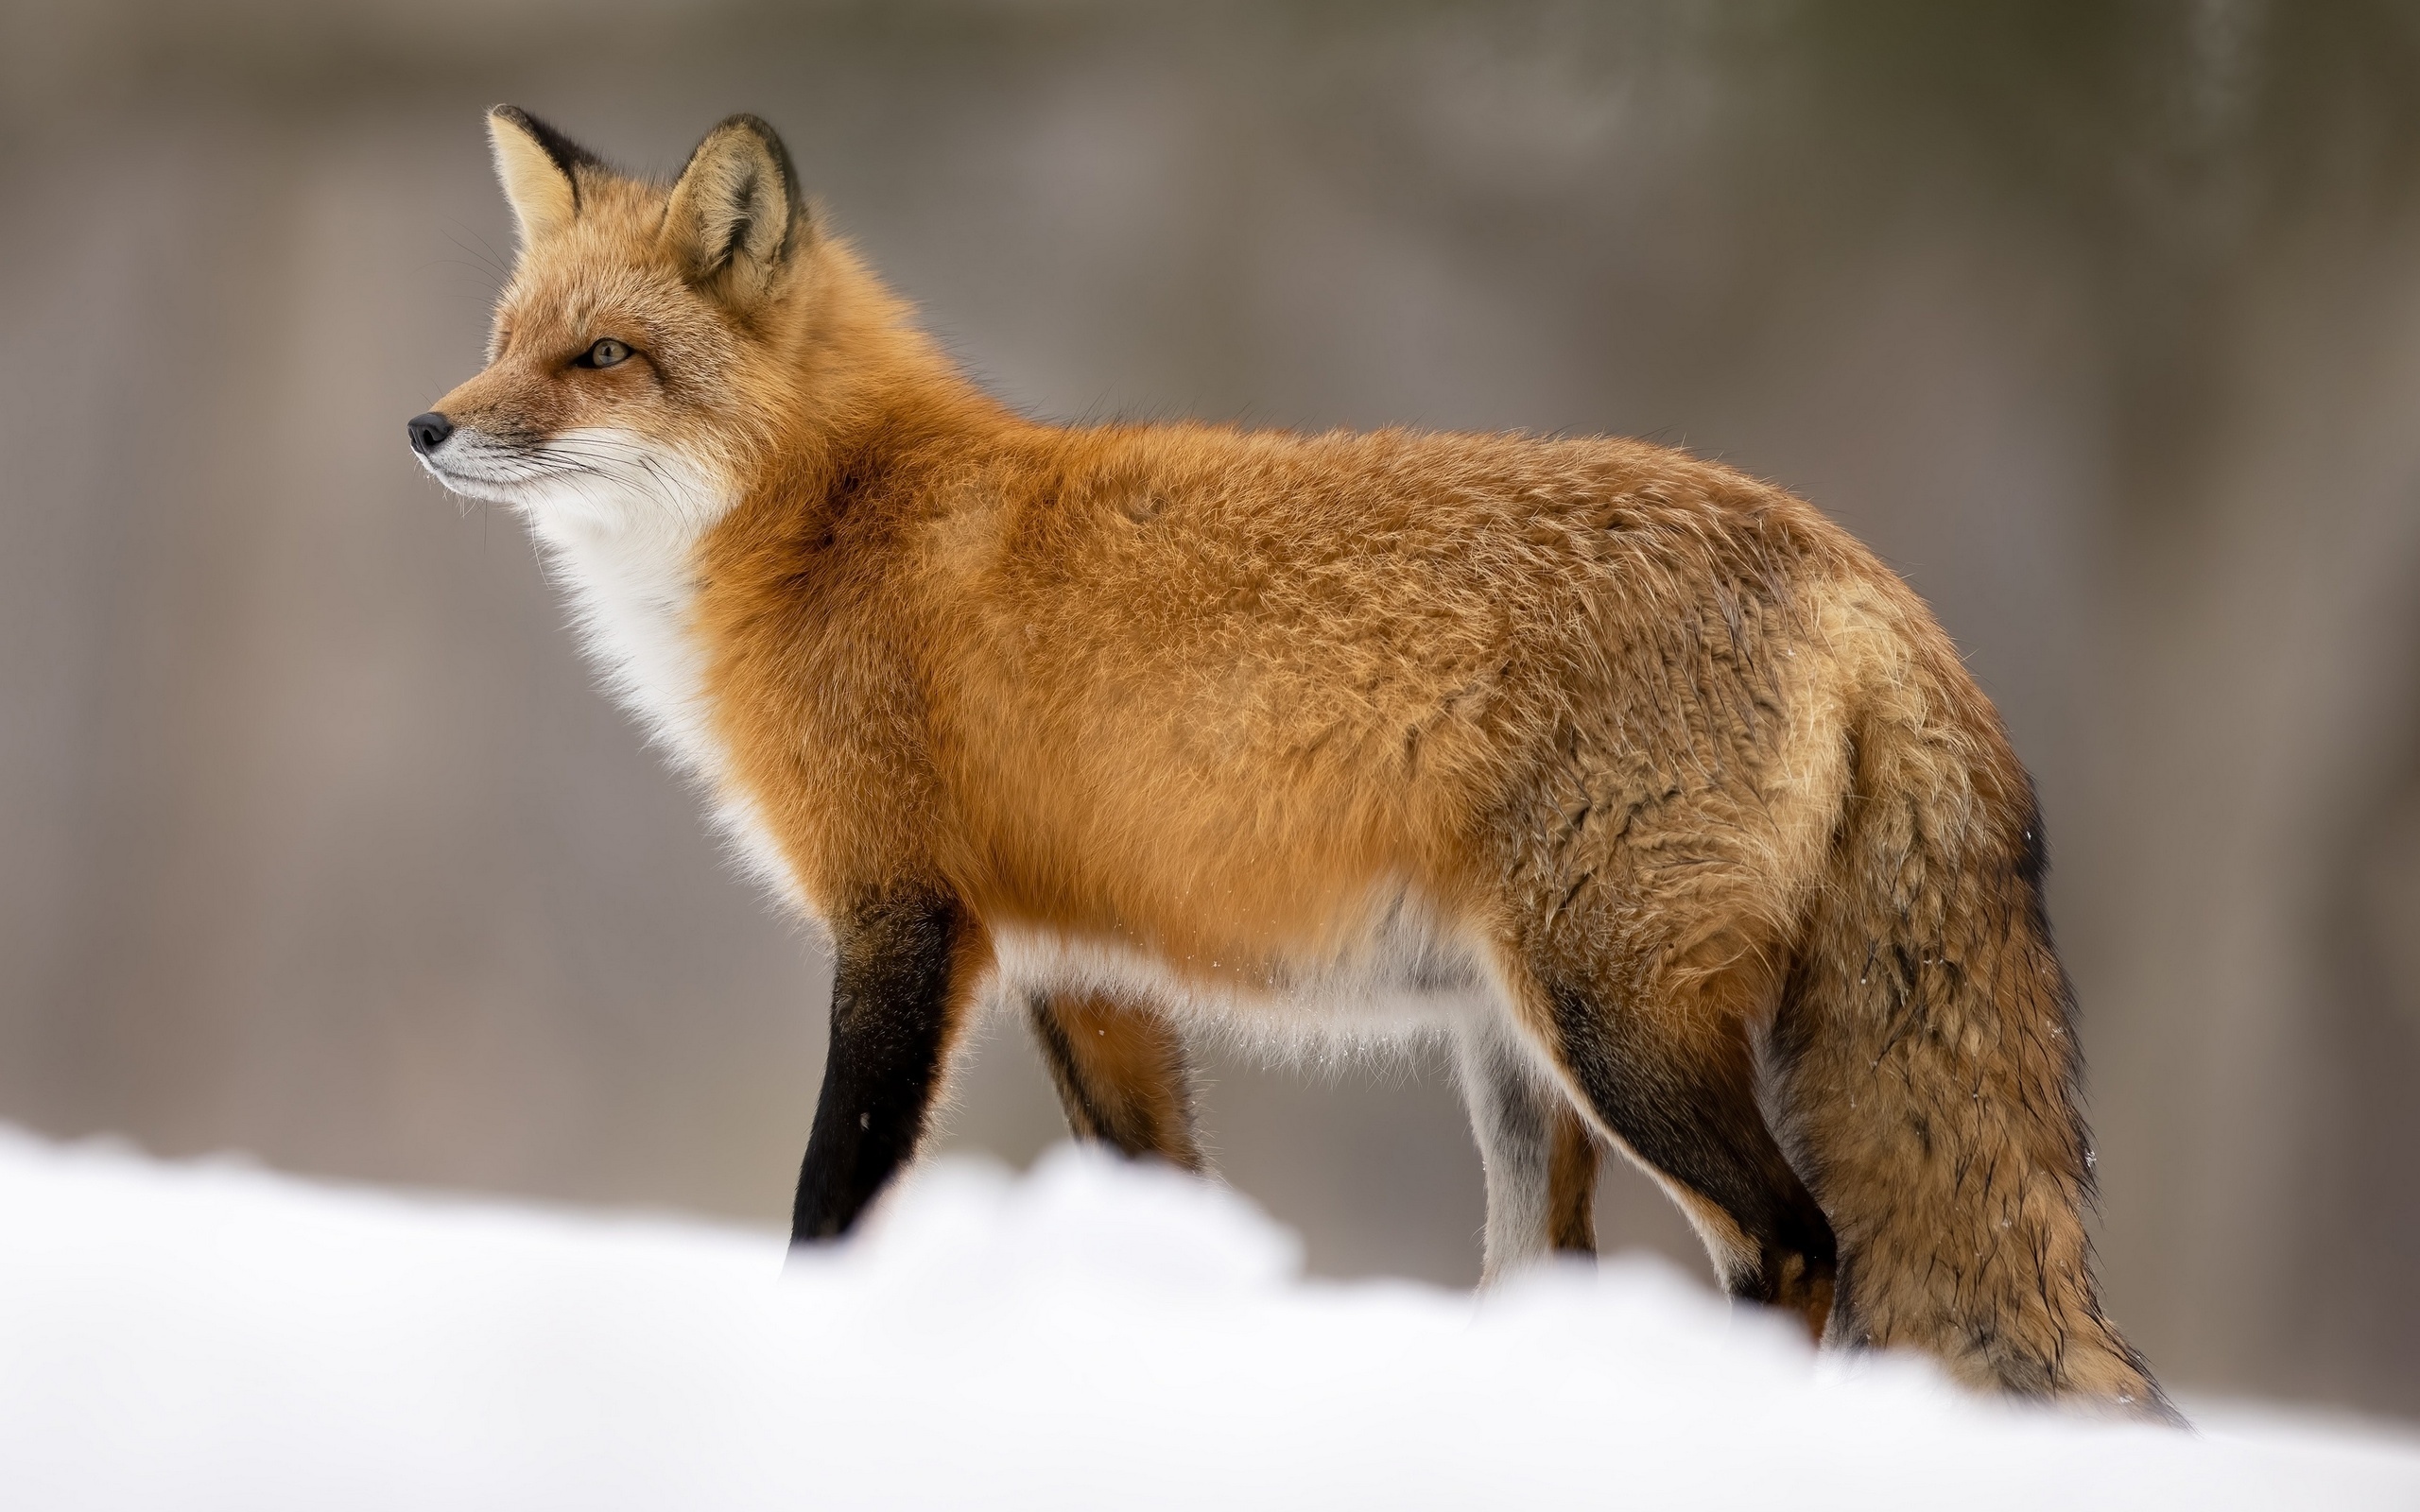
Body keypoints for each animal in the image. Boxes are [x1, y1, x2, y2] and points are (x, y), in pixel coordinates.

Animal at [410, 106, 2170, 1417]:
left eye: (603, 358)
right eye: (505, 340)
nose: (426, 428)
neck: (836, 519)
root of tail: (1857, 569)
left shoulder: (899, 923)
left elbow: (826, 1206)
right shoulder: (1080, 970)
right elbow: (1168, 1198)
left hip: (1612, 1024)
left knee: (1799, 1245)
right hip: (1518, 1058)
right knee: (1569, 1272)